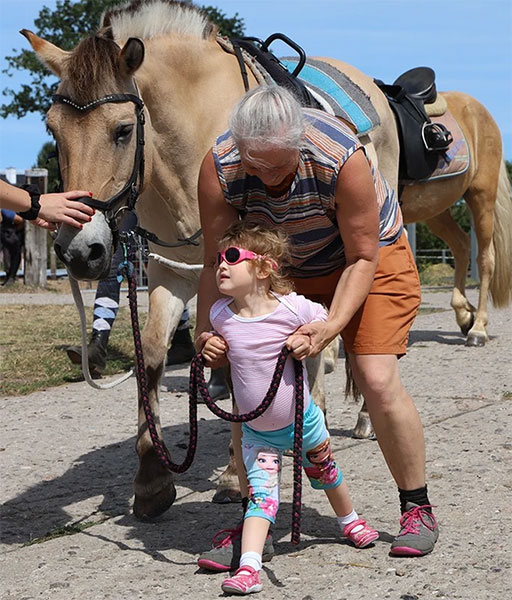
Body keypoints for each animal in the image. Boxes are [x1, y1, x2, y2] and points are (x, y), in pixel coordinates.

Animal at [23, 0, 512, 516]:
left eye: (121, 131)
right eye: (52, 129)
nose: (80, 250)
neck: (186, 143)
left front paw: (233, 475)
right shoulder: (169, 269)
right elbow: (153, 355)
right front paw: (152, 479)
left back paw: (457, 342)